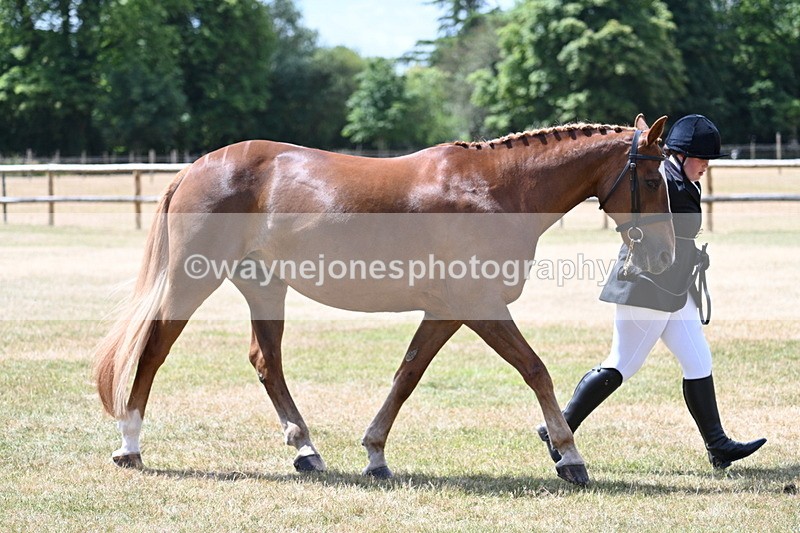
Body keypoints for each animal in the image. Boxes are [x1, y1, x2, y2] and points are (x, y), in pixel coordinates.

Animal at [93, 114, 672, 486]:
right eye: (650, 178)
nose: (666, 252)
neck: (496, 190)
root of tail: (197, 166)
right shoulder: (481, 306)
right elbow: (536, 370)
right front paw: (569, 457)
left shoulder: (447, 311)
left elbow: (407, 375)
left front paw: (375, 455)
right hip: (193, 281)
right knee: (154, 350)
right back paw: (129, 445)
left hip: (265, 286)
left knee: (266, 362)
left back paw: (306, 451)